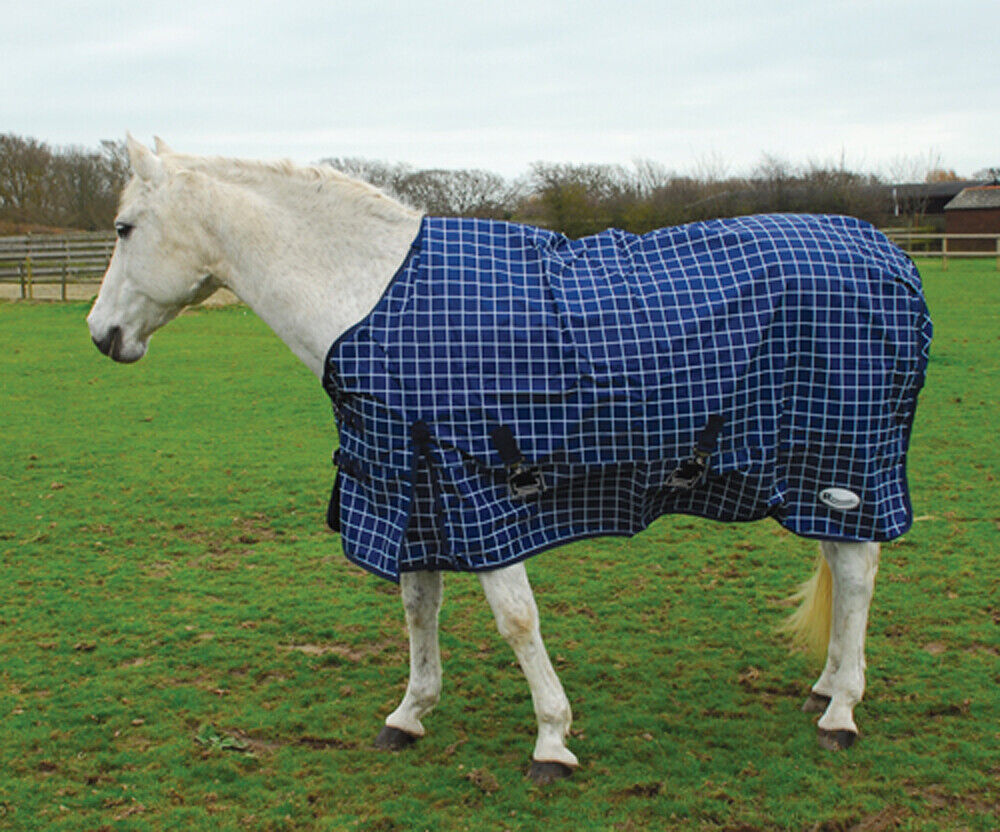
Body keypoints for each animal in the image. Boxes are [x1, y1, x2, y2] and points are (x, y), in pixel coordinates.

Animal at [87, 135, 929, 784]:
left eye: (125, 228)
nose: (100, 335)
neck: (375, 302)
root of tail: (888, 258)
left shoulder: (478, 492)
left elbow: (517, 621)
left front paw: (551, 740)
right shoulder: (415, 491)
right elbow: (418, 605)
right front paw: (409, 714)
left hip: (844, 466)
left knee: (857, 573)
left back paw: (842, 712)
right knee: (848, 567)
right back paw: (825, 688)